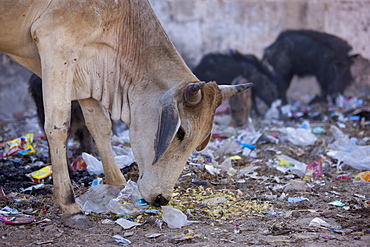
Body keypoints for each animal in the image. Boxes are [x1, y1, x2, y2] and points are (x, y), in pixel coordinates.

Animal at [0, 0, 251, 229]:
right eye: (180, 132)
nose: (161, 199)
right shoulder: (56, 44)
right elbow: (58, 126)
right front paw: (70, 207)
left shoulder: (85, 70)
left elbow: (100, 125)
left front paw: (117, 185)